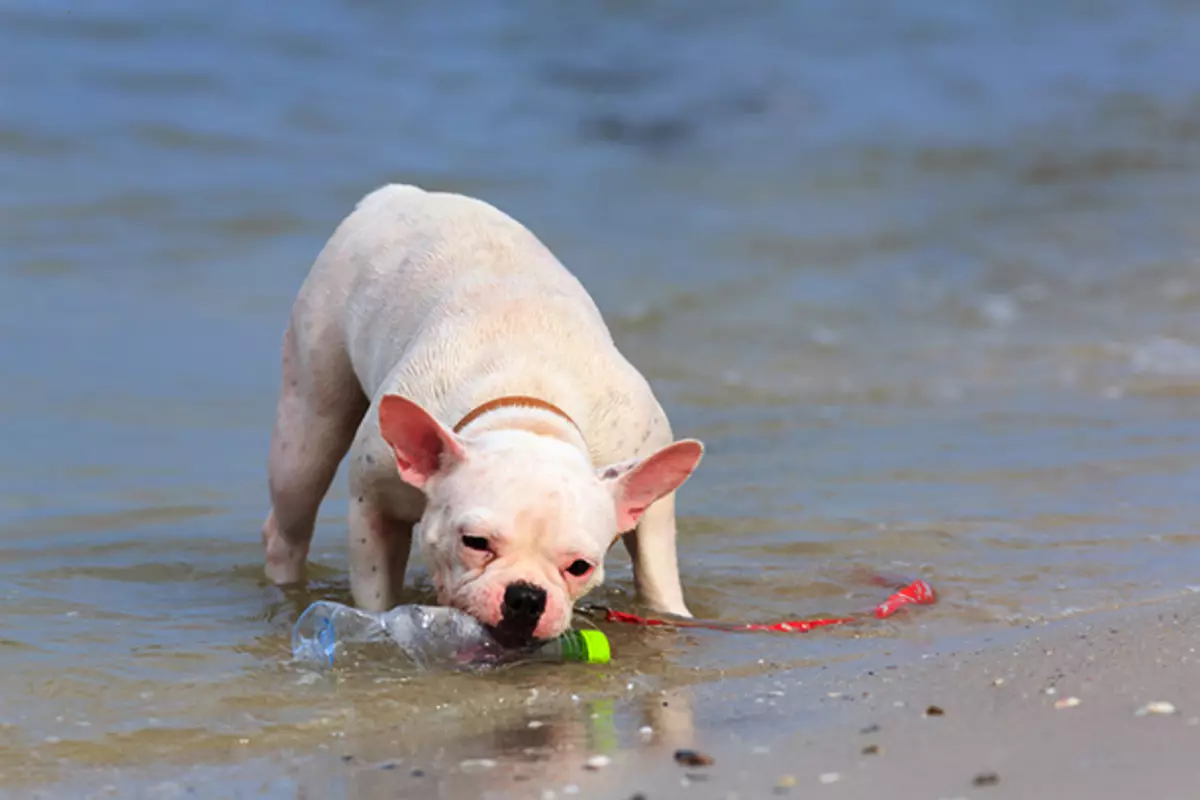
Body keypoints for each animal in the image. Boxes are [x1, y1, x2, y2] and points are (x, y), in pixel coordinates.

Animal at [258, 183, 700, 642]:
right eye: (474, 542)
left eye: (580, 567)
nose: (526, 596)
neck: (526, 415)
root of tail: (400, 194)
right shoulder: (372, 503)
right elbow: (374, 589)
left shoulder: (651, 502)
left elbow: (657, 574)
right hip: (307, 427)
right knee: (289, 521)